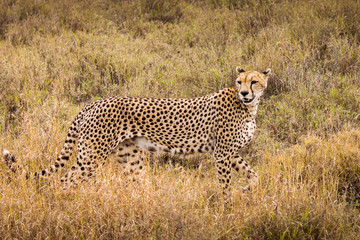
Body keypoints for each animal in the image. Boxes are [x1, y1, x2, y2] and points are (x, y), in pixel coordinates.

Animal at [2, 67, 272, 202]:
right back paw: (65, 204)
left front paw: (247, 190)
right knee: (66, 179)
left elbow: (254, 175)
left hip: (129, 156)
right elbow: (225, 185)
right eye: (239, 81)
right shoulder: (222, 153)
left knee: (135, 183)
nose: (245, 93)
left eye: (254, 81)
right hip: (92, 155)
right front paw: (228, 208)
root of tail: (93, 103)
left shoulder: (229, 152)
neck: (249, 107)